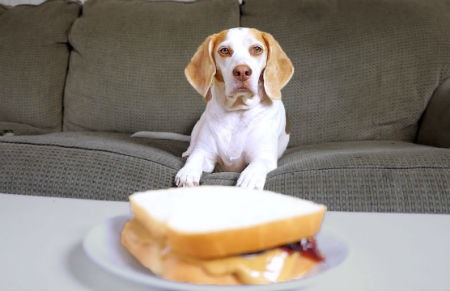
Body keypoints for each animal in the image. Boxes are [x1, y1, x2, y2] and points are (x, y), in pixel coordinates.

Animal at [174, 28, 294, 190]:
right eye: (224, 50)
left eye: (257, 49)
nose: (242, 72)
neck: (237, 112)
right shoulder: (205, 153)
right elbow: (195, 158)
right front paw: (188, 172)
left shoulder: (264, 157)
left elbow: (257, 165)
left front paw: (250, 178)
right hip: (198, 126)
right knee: (192, 147)